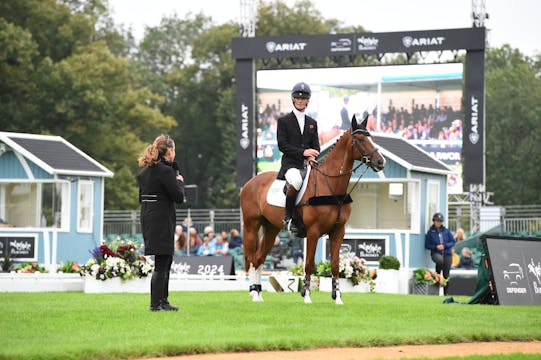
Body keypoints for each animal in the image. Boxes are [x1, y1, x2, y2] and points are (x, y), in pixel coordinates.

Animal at [239, 115, 384, 304]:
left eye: (371, 138)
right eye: (360, 140)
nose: (381, 162)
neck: (330, 186)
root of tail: (250, 183)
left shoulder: (338, 231)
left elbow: (335, 265)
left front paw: (338, 298)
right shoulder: (313, 231)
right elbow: (309, 264)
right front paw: (307, 296)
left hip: (271, 228)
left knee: (258, 259)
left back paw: (258, 294)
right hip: (252, 225)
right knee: (251, 258)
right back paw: (253, 293)